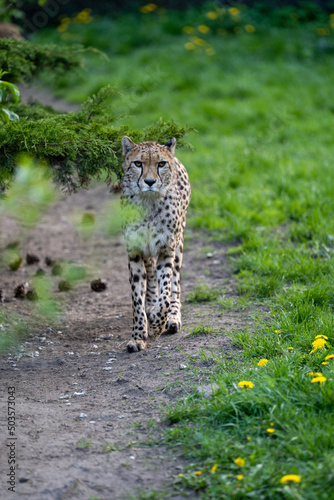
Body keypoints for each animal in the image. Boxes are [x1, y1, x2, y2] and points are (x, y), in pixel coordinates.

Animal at [122, 135, 190, 350]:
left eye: (161, 164)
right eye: (138, 163)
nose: (150, 181)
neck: (149, 203)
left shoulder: (166, 250)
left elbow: (166, 294)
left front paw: (157, 325)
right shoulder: (135, 252)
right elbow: (137, 299)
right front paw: (138, 336)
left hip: (178, 243)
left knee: (175, 284)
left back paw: (173, 319)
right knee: (150, 274)